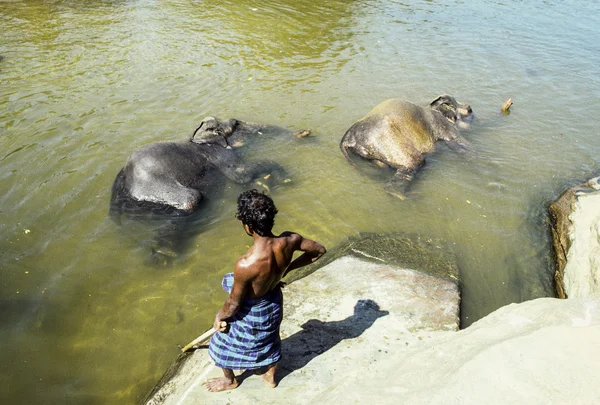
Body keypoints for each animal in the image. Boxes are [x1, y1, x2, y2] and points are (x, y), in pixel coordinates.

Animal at [340, 94, 472, 196]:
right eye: (454, 103)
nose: (469, 107)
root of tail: (348, 137)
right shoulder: (444, 126)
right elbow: (461, 144)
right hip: (391, 142)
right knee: (414, 162)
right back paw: (406, 196)